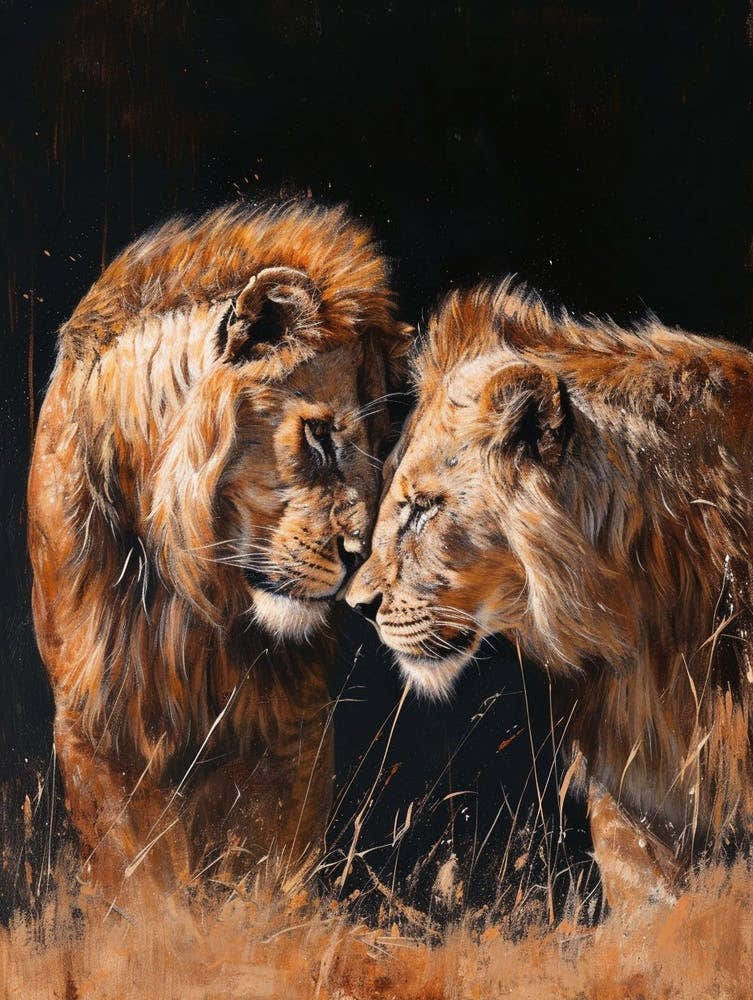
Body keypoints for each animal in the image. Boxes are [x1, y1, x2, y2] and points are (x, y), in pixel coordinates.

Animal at [27, 201, 411, 898]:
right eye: (320, 436)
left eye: (384, 448)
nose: (363, 562)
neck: (191, 592)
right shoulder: (95, 724)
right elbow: (143, 882)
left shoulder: (292, 726)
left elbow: (268, 869)